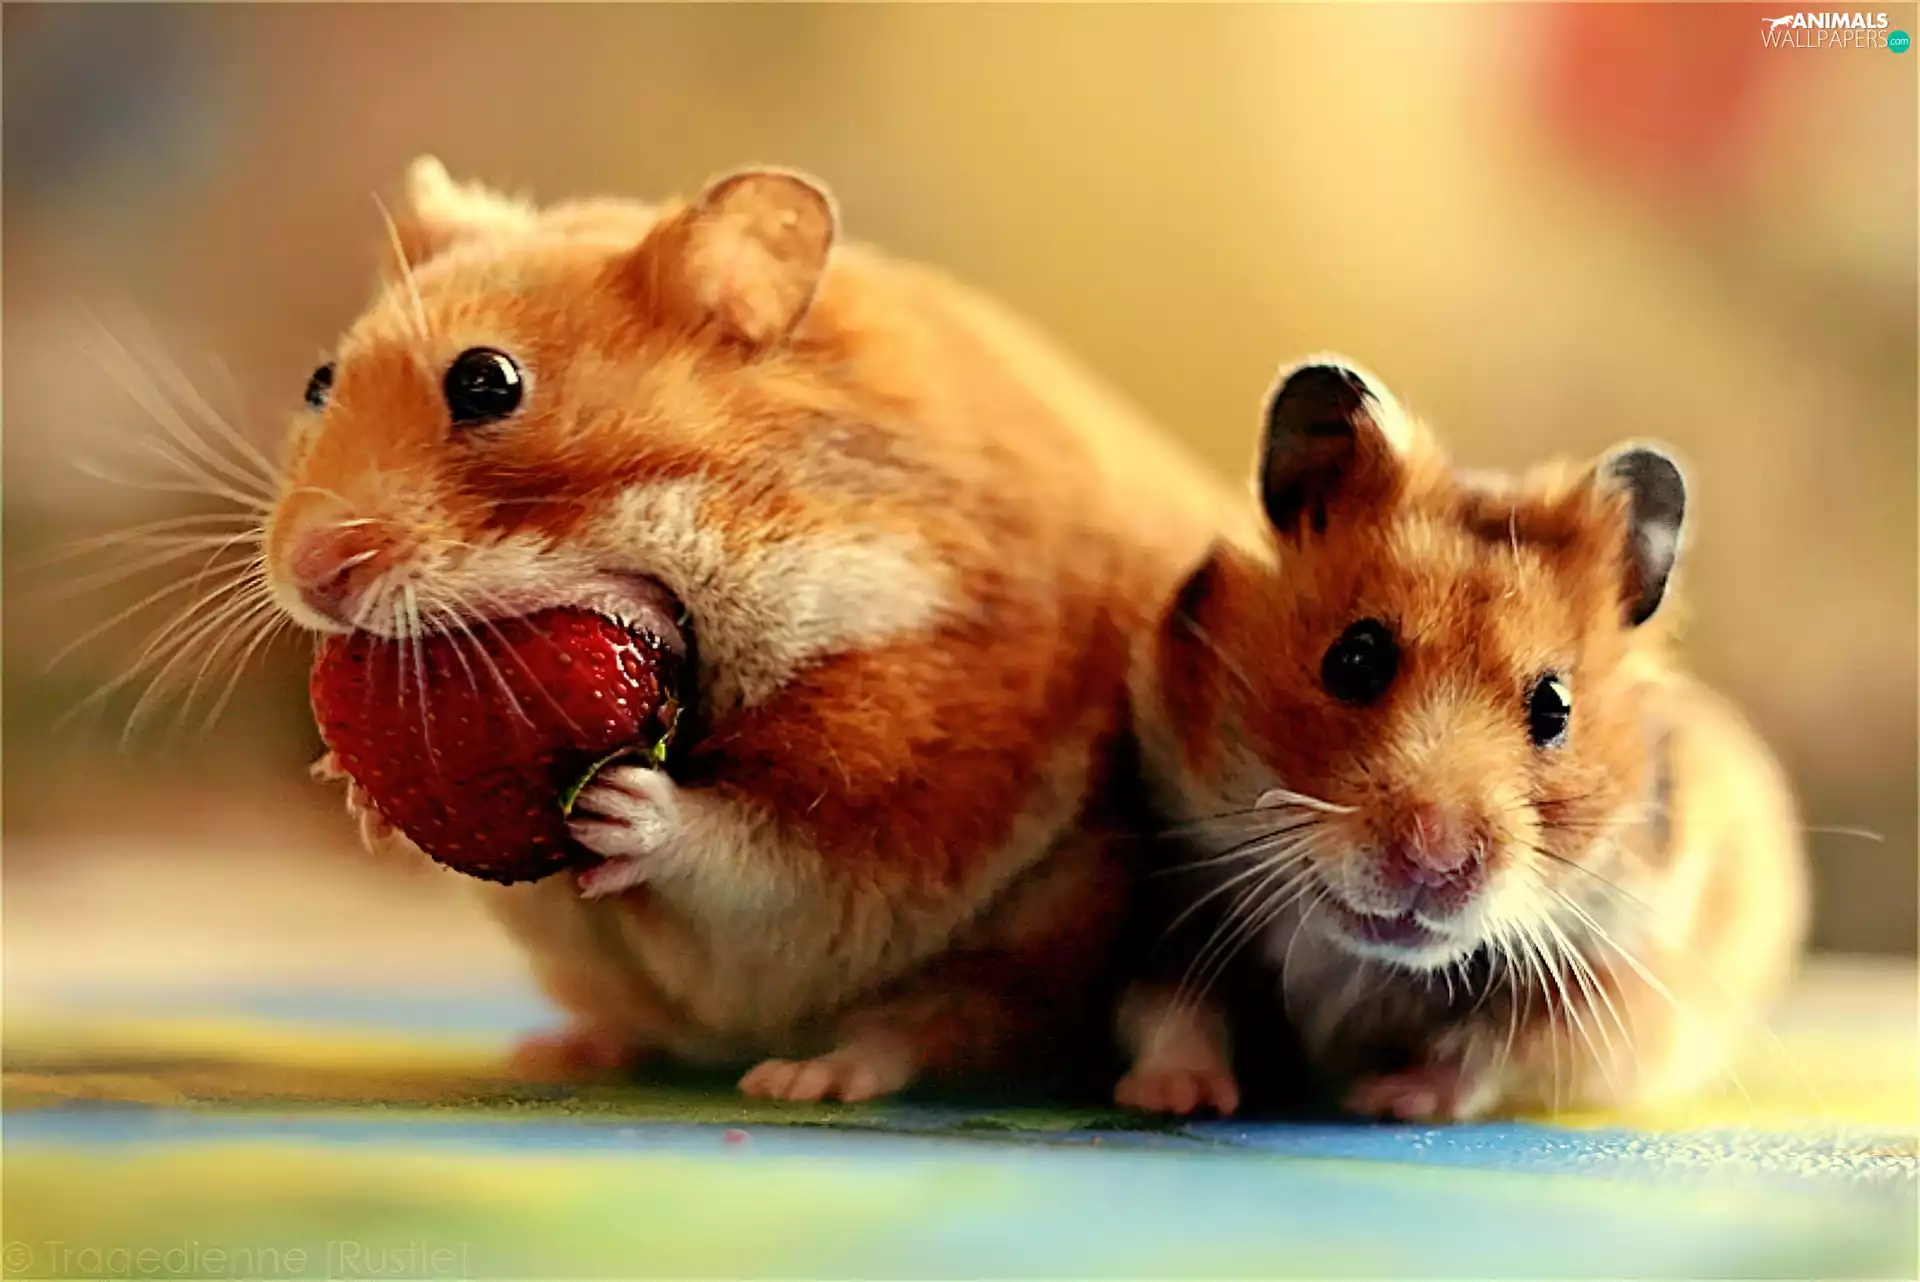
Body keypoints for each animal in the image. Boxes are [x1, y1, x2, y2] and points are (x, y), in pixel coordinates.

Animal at [269, 158, 1235, 1101]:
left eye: (487, 381)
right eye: (319, 383)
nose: (311, 577)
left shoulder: (897, 772)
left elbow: (755, 857)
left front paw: (624, 806)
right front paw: (356, 795)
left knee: (949, 1029)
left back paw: (815, 1080)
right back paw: (560, 1052)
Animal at [1115, 358, 1809, 1121]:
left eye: (1555, 707)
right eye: (1355, 658)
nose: (1434, 859)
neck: (1363, 964)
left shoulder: (1611, 985)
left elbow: (1488, 1055)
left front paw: (1384, 1100)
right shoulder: (1172, 900)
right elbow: (1174, 1009)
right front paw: (1174, 1100)